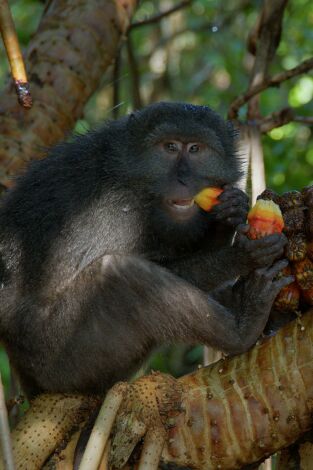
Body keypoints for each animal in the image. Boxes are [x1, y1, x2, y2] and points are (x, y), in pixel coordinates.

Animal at [0, 103, 290, 396]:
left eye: (195, 148)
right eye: (170, 147)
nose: (183, 179)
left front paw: (229, 212)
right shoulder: (119, 210)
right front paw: (241, 256)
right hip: (57, 357)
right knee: (122, 274)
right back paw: (243, 328)